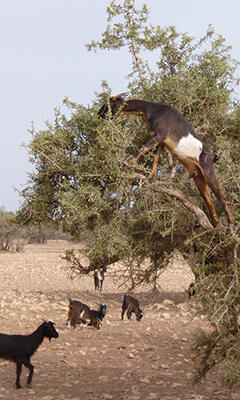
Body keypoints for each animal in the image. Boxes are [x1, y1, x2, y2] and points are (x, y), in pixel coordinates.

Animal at [97, 92, 232, 227]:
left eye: (109, 104)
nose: (99, 115)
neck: (152, 109)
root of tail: (211, 157)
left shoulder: (160, 135)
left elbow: (144, 147)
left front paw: (128, 162)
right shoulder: (161, 141)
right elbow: (155, 156)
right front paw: (151, 176)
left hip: (208, 172)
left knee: (221, 197)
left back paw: (230, 221)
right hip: (198, 177)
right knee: (208, 199)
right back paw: (214, 223)